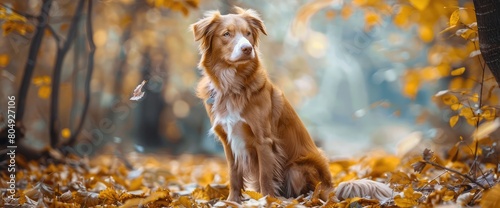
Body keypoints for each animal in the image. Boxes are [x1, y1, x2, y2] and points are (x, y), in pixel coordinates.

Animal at [189, 6, 334, 202]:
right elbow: (234, 175)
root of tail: (331, 188)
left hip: (296, 169)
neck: (232, 86)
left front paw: (267, 200)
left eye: (248, 33)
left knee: (308, 191)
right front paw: (232, 201)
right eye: (226, 34)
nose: (247, 48)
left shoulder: (263, 140)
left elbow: (265, 175)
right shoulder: (228, 140)